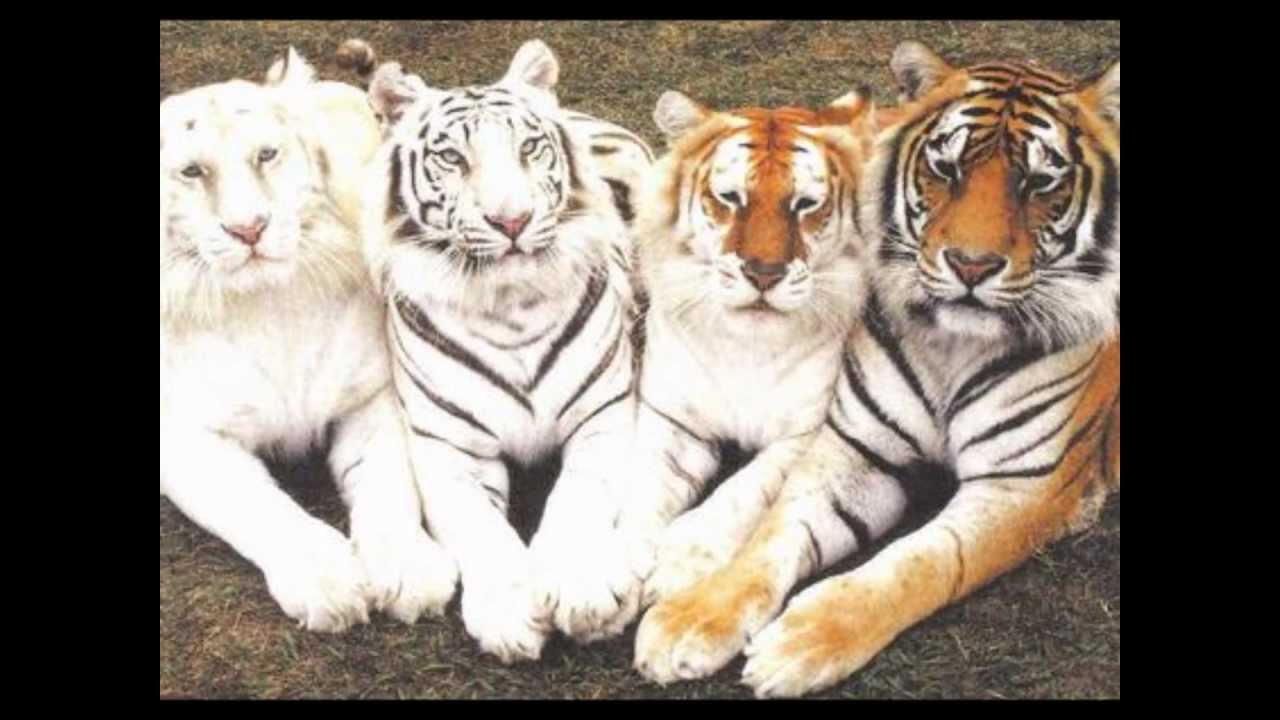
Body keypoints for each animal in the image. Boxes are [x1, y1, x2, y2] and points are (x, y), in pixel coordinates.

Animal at [160, 47, 458, 633]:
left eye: (267, 155)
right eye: (192, 171)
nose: (249, 229)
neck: (267, 304)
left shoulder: (374, 394)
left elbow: (389, 481)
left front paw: (411, 570)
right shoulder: (183, 437)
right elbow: (255, 503)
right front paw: (326, 581)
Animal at [355, 39, 654, 662]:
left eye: (530, 147)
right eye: (451, 158)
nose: (512, 220)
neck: (510, 305)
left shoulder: (602, 416)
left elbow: (577, 498)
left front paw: (582, 587)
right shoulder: (448, 448)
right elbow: (480, 530)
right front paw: (509, 613)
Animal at [612, 89, 878, 620]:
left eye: (805, 204)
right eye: (731, 198)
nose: (763, 273)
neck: (746, 346)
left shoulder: (806, 432)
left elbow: (744, 490)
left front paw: (681, 560)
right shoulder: (672, 418)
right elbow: (642, 486)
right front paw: (602, 574)